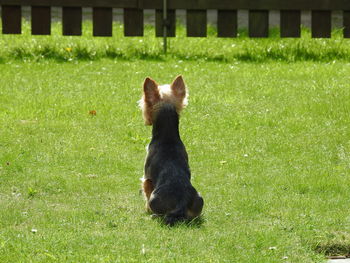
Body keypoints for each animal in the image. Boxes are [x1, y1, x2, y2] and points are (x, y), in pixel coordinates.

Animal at [139, 75, 204, 226]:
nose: (146, 120)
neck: (168, 136)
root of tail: (181, 204)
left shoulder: (147, 178)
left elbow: (146, 192)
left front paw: (146, 210)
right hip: (200, 199)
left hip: (155, 199)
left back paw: (152, 216)